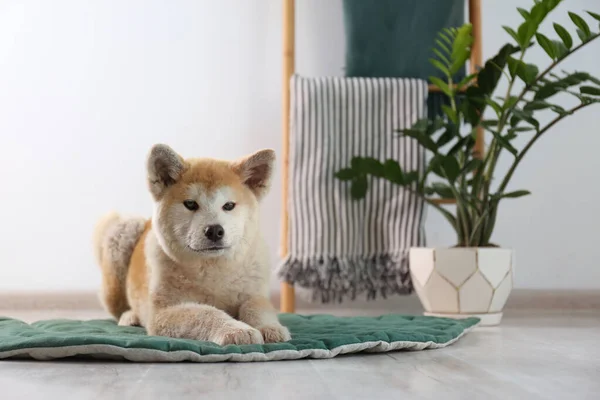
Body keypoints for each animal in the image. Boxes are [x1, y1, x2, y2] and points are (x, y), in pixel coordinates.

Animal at [92, 145, 292, 346]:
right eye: (190, 204)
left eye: (228, 205)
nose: (214, 231)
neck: (213, 269)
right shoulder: (163, 312)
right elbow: (207, 313)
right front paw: (237, 330)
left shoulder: (254, 294)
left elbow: (257, 308)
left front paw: (271, 328)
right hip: (123, 229)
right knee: (118, 308)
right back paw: (130, 316)